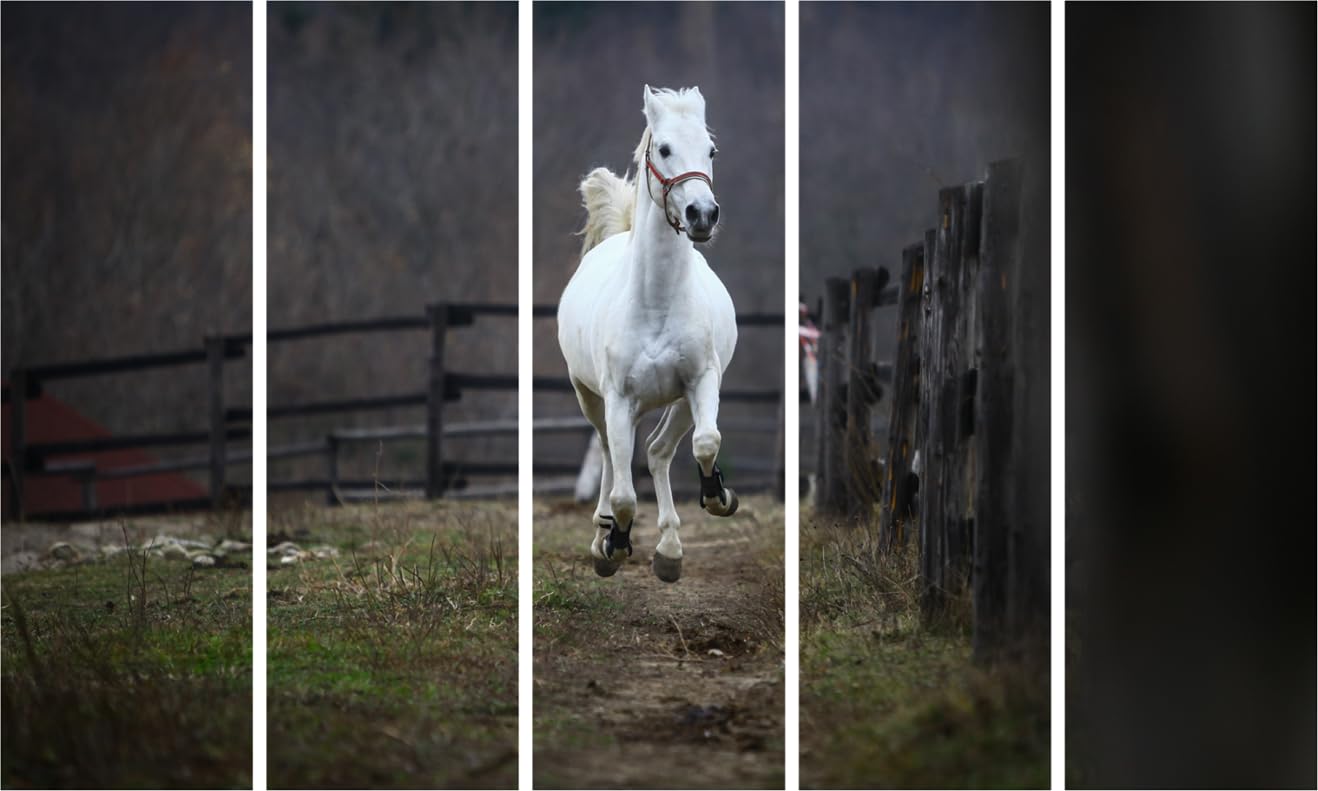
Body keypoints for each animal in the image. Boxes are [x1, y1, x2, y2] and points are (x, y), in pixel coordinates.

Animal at [557, 85, 739, 583]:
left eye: (711, 150)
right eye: (664, 149)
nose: (702, 214)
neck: (655, 303)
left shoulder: (702, 382)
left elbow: (706, 442)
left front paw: (719, 497)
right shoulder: (619, 400)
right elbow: (623, 493)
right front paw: (614, 545)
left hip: (679, 402)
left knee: (659, 451)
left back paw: (670, 549)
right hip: (593, 398)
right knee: (608, 454)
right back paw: (603, 535)